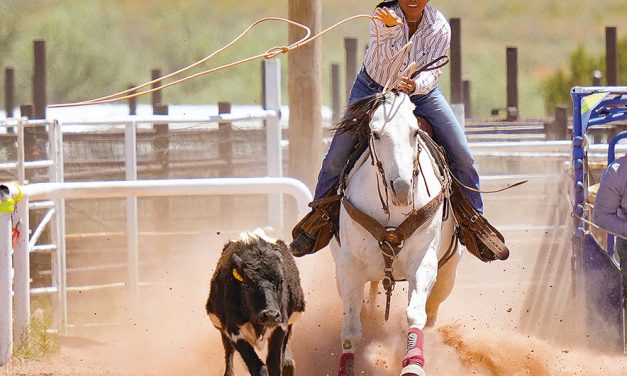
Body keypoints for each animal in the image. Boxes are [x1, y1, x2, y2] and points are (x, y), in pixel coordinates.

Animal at [332, 91, 464, 376]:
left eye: (414, 132)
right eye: (375, 133)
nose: (402, 189)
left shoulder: (423, 260)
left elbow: (415, 313)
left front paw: (412, 364)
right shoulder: (349, 267)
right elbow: (350, 329)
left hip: (447, 275)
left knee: (430, 313)